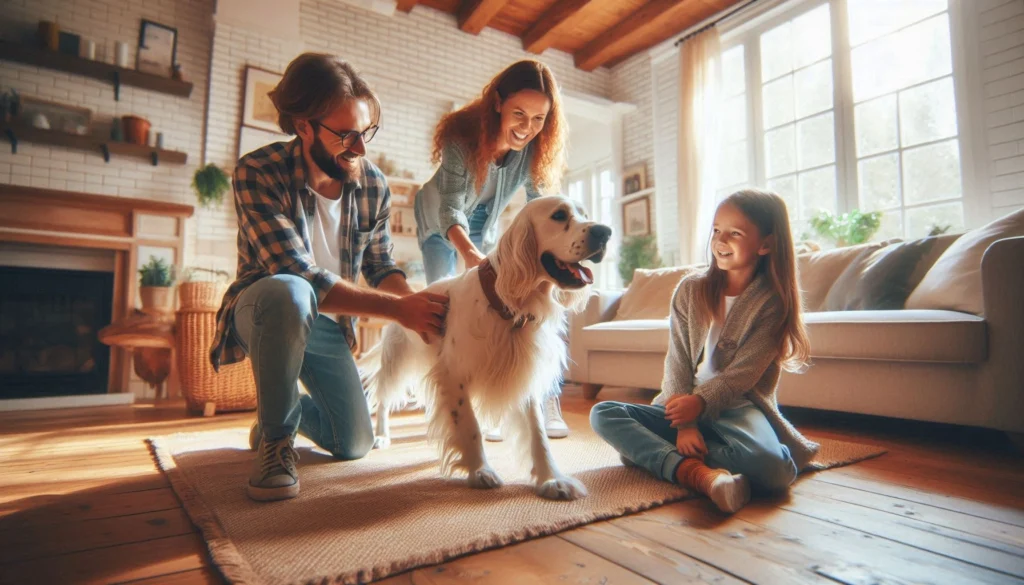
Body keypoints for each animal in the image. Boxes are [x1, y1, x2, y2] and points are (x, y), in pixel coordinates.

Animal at [362, 195, 606, 499]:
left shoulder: (523, 374)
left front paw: (551, 478)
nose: (605, 232)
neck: (503, 304)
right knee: (383, 401)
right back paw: (381, 435)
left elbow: (537, 433)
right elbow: (469, 426)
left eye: (584, 213)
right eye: (559, 215)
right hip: (396, 362)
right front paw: (480, 470)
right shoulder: (454, 375)